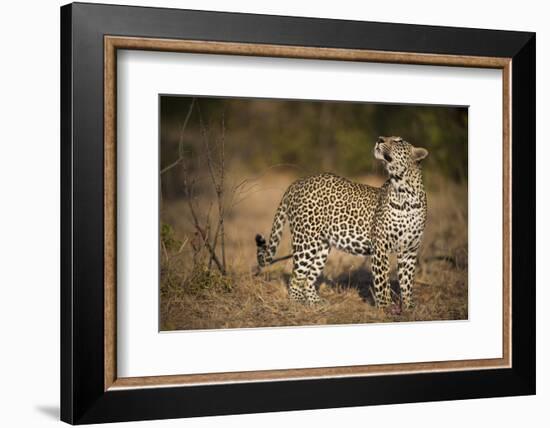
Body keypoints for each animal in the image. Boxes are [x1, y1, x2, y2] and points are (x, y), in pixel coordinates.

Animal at [256, 137, 430, 310]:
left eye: (398, 141)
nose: (379, 139)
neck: (405, 193)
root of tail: (297, 182)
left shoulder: (410, 250)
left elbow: (407, 282)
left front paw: (409, 307)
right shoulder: (380, 246)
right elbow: (382, 281)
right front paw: (385, 307)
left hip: (321, 245)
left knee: (309, 277)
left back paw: (316, 302)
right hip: (306, 241)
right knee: (296, 277)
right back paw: (298, 303)